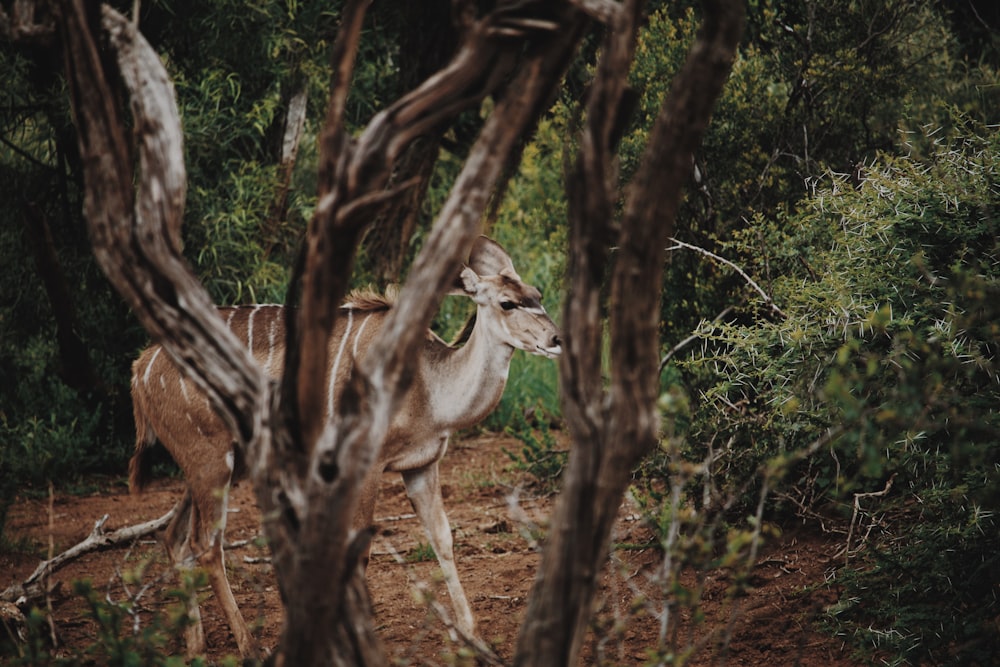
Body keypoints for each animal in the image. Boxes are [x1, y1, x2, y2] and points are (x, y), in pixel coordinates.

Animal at [127, 235, 564, 656]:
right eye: (507, 302)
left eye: (538, 294)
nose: (557, 339)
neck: (429, 385)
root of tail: (141, 368)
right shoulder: (365, 465)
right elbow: (361, 551)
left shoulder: (421, 465)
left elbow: (442, 538)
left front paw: (474, 638)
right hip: (212, 461)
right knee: (207, 544)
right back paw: (248, 645)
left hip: (218, 464)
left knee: (175, 537)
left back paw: (196, 644)